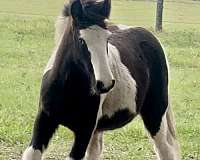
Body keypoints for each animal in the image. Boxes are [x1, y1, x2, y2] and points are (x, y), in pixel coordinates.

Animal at [21, 0, 180, 159]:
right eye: (81, 40)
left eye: (107, 39)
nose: (105, 83)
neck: (67, 89)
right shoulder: (44, 121)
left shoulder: (84, 131)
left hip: (155, 114)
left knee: (164, 149)